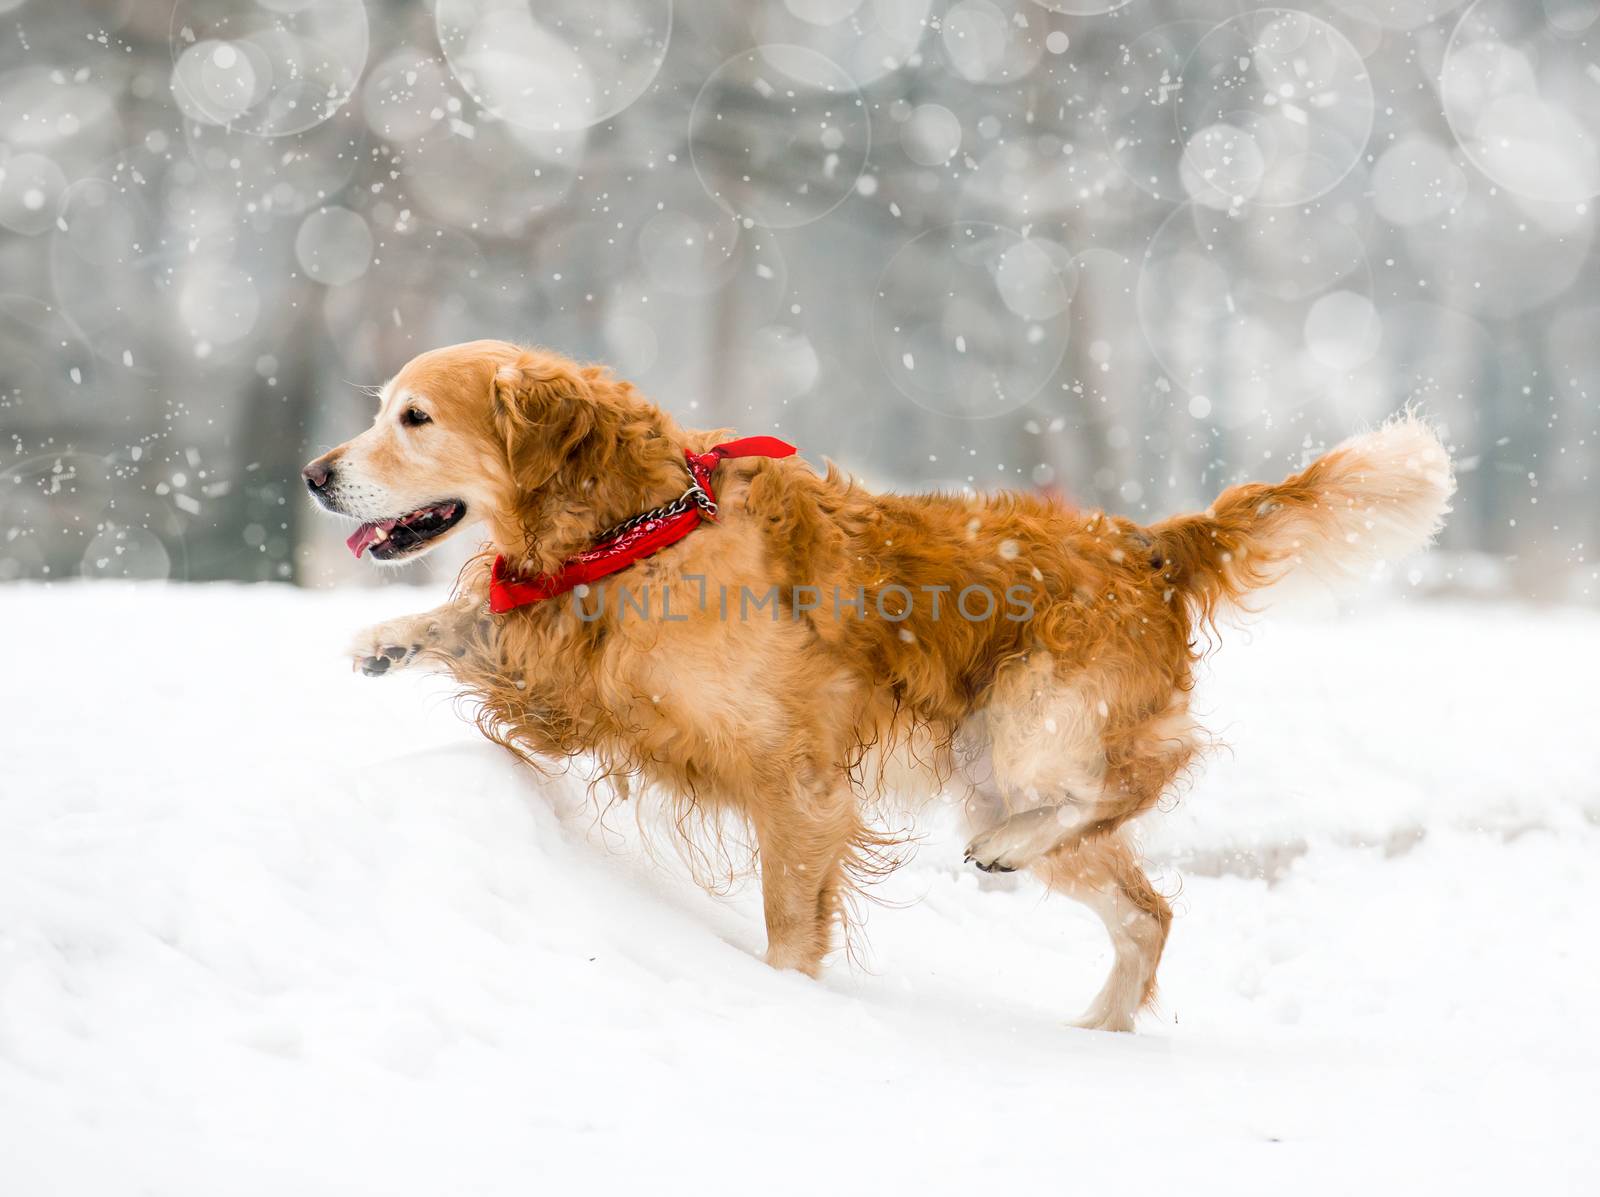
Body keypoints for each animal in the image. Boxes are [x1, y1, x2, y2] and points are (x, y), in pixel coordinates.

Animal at [305, 336, 1459, 1030]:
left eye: (413, 418)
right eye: (383, 410)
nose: (315, 474)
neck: (639, 534)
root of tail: (1153, 543)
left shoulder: (798, 783)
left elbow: (788, 928)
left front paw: (782, 1008)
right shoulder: (576, 668)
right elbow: (480, 627)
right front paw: (389, 639)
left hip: (1028, 723)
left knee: (1116, 787)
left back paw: (1013, 853)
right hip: (1004, 766)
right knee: (1147, 909)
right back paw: (1100, 1029)